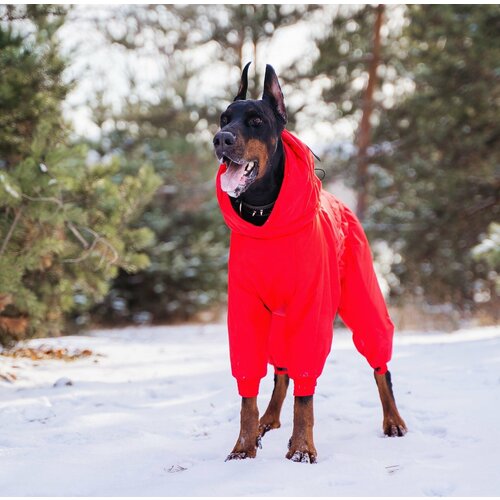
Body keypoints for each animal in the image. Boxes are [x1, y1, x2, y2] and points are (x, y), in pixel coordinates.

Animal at [212, 63, 406, 464]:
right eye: (223, 118)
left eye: (256, 121)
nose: (220, 139)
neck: (264, 215)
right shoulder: (245, 309)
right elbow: (248, 388)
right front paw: (243, 446)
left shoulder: (310, 306)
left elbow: (306, 389)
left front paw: (302, 449)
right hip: (278, 321)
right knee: (280, 370)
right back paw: (268, 421)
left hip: (362, 299)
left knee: (380, 363)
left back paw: (393, 420)